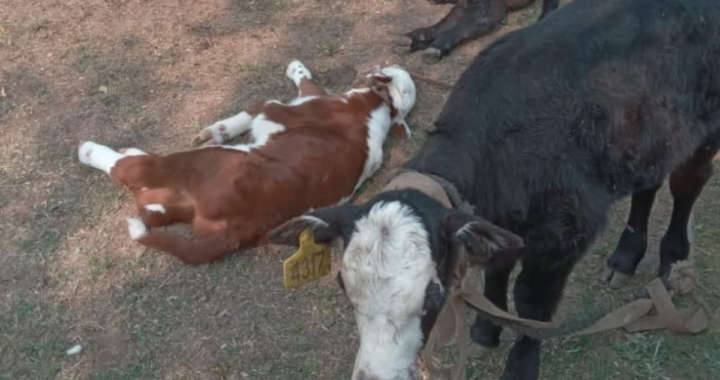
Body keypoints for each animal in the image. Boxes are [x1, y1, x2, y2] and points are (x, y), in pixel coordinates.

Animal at [77, 60, 416, 266]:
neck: (378, 105)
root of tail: (243, 226)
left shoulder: (273, 108)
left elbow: (260, 106)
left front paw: (295, 68)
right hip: (172, 205)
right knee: (147, 201)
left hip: (192, 162)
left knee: (132, 169)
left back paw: (90, 150)